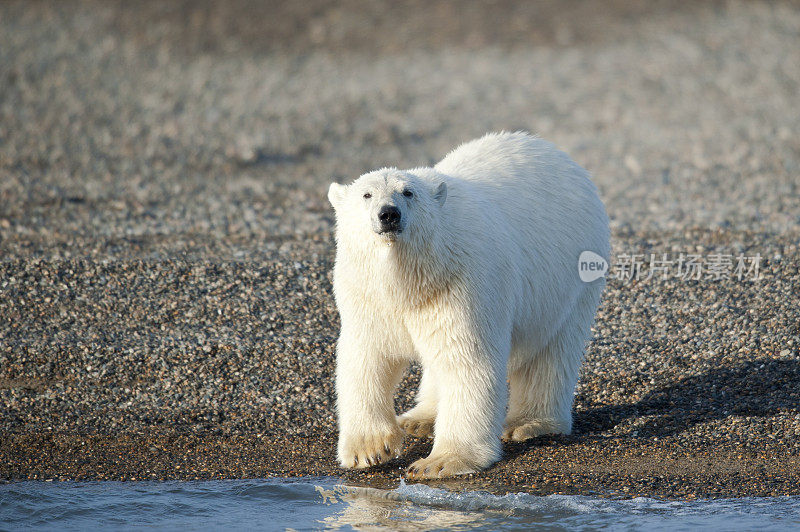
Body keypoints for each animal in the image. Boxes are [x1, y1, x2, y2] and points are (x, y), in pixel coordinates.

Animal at [328, 130, 608, 478]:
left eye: (408, 192)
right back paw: (419, 418)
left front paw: (440, 461)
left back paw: (529, 423)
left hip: (569, 276)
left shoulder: (462, 284)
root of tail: (562, 157)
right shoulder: (369, 298)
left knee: (551, 353)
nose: (389, 214)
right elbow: (366, 360)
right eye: (366, 194)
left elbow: (467, 360)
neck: (408, 280)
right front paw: (367, 450)